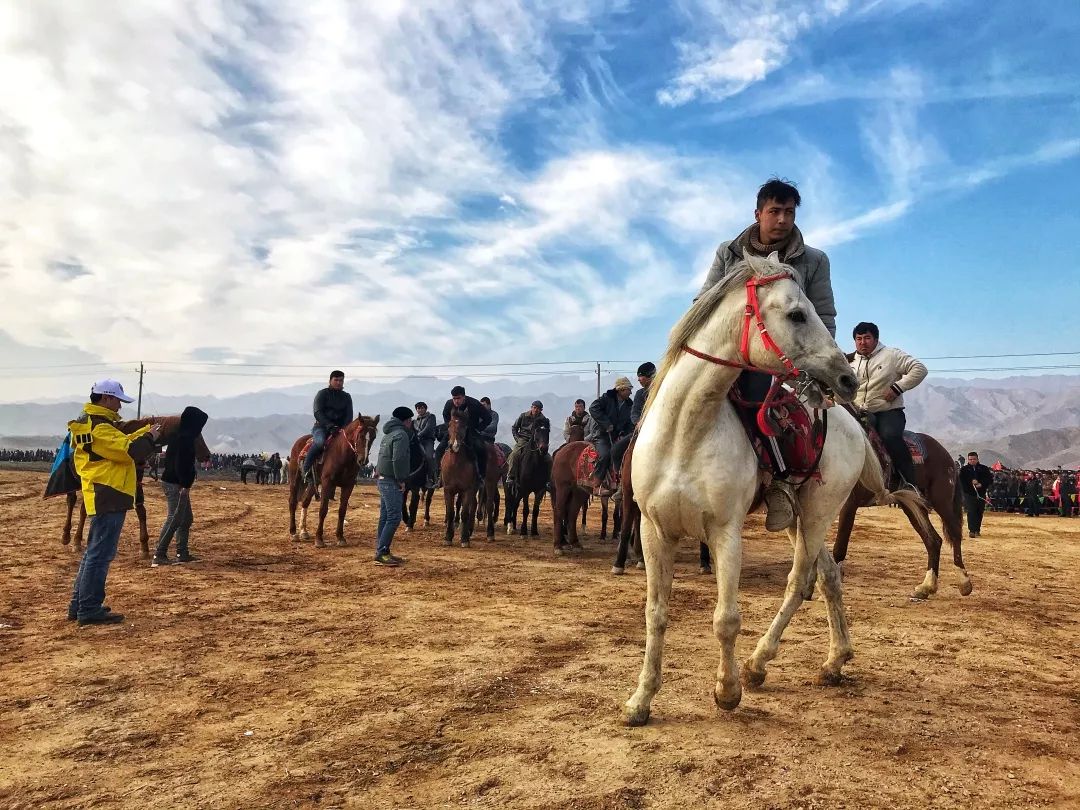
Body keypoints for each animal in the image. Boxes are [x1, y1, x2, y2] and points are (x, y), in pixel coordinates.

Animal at [55, 414, 211, 561]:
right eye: (196, 435)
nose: (207, 455)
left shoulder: (136, 481)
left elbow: (141, 510)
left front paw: (144, 546)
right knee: (72, 502)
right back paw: (68, 536)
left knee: (83, 508)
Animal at [287, 414, 380, 548]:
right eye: (361, 435)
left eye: (373, 437)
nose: (363, 460)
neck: (342, 454)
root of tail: (299, 442)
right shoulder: (327, 483)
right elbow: (323, 510)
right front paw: (319, 539)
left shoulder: (348, 486)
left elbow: (342, 511)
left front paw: (340, 537)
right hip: (295, 479)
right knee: (293, 502)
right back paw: (293, 533)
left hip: (313, 483)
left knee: (305, 502)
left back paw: (303, 531)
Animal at [440, 408, 479, 548]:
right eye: (449, 425)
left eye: (463, 426)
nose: (454, 445)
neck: (455, 464)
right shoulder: (448, 490)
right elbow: (450, 512)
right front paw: (448, 537)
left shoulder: (468, 490)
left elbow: (465, 513)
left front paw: (464, 538)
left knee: (472, 506)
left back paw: (468, 530)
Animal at [626, 253, 928, 730]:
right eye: (797, 314)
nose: (846, 377)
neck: (684, 433)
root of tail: (854, 426)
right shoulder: (655, 531)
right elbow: (655, 614)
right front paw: (641, 700)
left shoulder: (725, 533)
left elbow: (726, 619)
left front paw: (727, 691)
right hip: (795, 519)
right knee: (828, 576)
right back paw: (834, 660)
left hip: (820, 512)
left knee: (800, 582)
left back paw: (757, 664)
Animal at [829, 427, 976, 600]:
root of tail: (948, 457)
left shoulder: (849, 503)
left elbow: (839, 548)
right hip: (912, 505)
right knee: (933, 540)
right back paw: (927, 586)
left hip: (941, 500)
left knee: (954, 534)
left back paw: (964, 583)